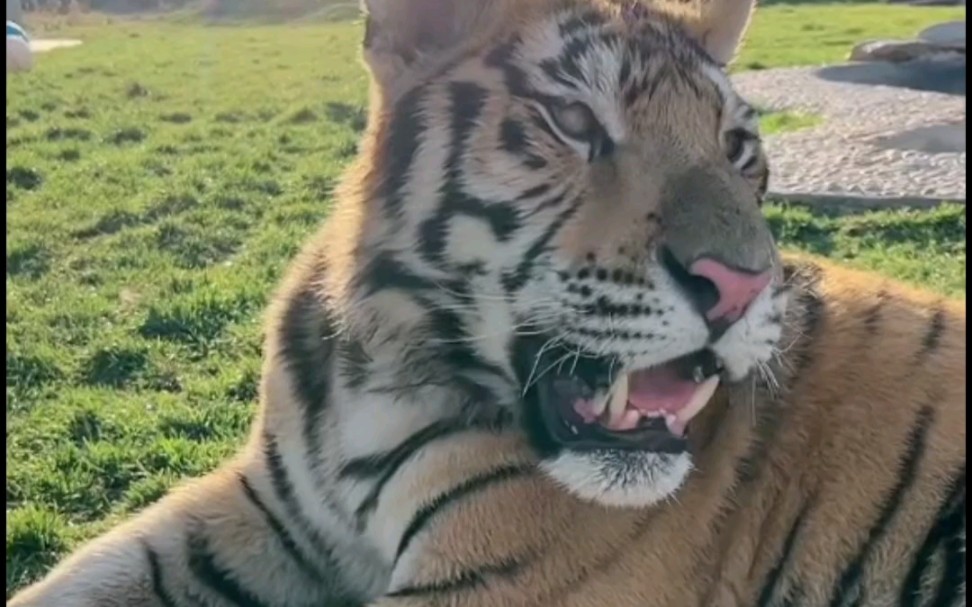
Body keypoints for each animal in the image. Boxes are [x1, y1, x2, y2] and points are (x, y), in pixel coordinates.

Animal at [8, 0, 966, 605]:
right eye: (573, 123)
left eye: (736, 147)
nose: (744, 286)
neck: (377, 368)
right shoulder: (261, 513)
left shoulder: (508, 578)